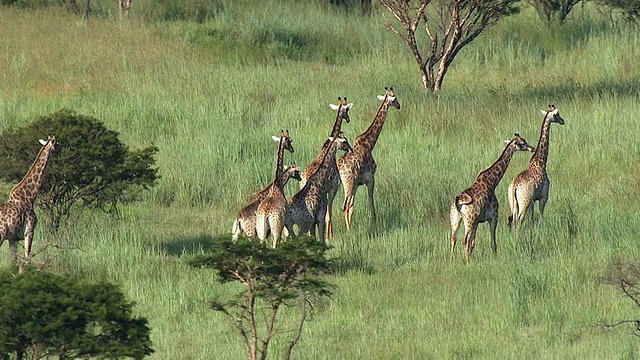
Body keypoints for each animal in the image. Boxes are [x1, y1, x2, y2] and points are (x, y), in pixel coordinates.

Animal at [338, 86, 398, 231]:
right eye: (396, 99)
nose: (399, 106)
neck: (369, 144)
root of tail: (340, 168)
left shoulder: (357, 184)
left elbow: (353, 208)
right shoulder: (370, 179)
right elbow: (371, 205)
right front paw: (374, 224)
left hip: (344, 184)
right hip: (348, 183)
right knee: (344, 206)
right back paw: (349, 231)